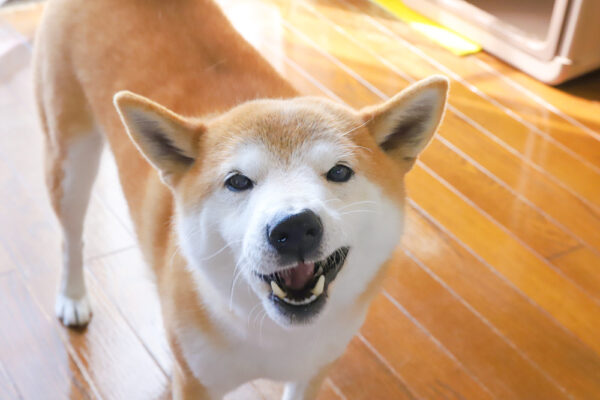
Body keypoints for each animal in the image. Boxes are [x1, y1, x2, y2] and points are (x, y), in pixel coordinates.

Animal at [32, 0, 446, 396]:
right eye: (238, 181)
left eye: (340, 172)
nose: (295, 228)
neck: (275, 335)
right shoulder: (196, 383)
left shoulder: (312, 371)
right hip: (69, 163)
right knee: (71, 237)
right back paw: (72, 296)